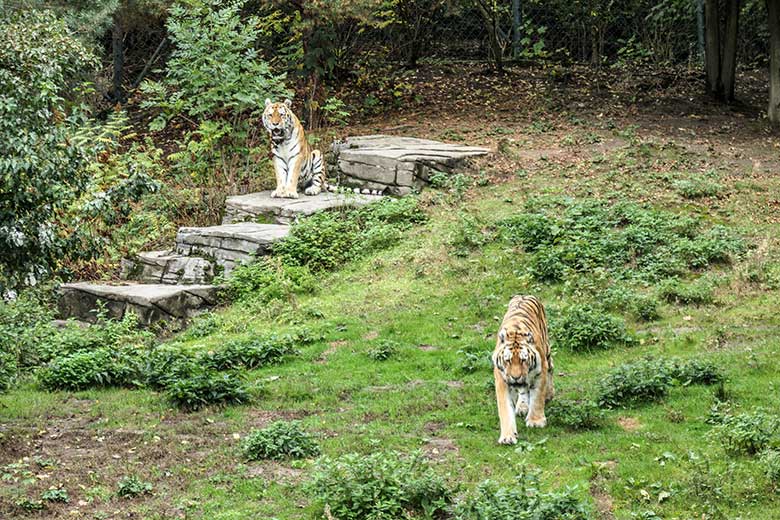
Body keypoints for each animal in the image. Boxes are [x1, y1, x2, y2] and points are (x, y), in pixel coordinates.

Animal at [494, 294, 556, 444]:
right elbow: (505, 408)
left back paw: (549, 394)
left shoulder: (541, 372)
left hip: (547, 350)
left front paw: (535, 422)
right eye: (508, 360)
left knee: (551, 367)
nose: (516, 377)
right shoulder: (502, 379)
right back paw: (522, 406)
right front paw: (507, 436)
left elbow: (537, 398)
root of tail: (524, 295)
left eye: (523, 360)